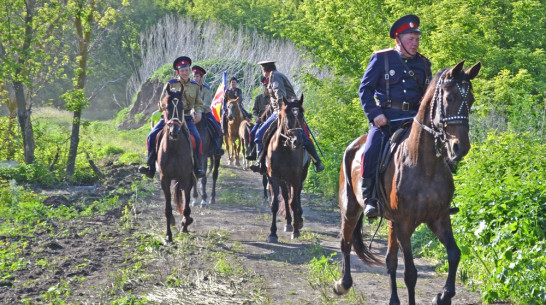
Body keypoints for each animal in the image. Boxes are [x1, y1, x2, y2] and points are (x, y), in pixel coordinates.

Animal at [155, 94, 196, 241]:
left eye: (182, 107)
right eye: (167, 107)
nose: (174, 132)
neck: (173, 148)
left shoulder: (186, 178)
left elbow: (186, 207)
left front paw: (185, 225)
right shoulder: (164, 179)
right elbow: (167, 209)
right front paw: (168, 235)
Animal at [264, 95, 308, 242]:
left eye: (301, 116)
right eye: (288, 116)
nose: (297, 141)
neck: (284, 149)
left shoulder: (295, 178)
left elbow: (294, 202)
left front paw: (296, 230)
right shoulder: (273, 177)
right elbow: (275, 204)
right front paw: (272, 233)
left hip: (300, 176)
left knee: (296, 197)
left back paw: (298, 221)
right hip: (283, 180)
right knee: (285, 195)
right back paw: (289, 222)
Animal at [334, 60, 478, 304]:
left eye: (471, 100)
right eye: (449, 98)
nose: (460, 147)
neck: (424, 165)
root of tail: (354, 144)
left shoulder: (438, 219)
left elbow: (454, 254)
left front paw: (444, 295)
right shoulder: (404, 224)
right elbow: (410, 272)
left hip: (390, 222)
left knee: (390, 261)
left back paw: (393, 299)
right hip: (351, 208)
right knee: (345, 242)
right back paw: (343, 284)